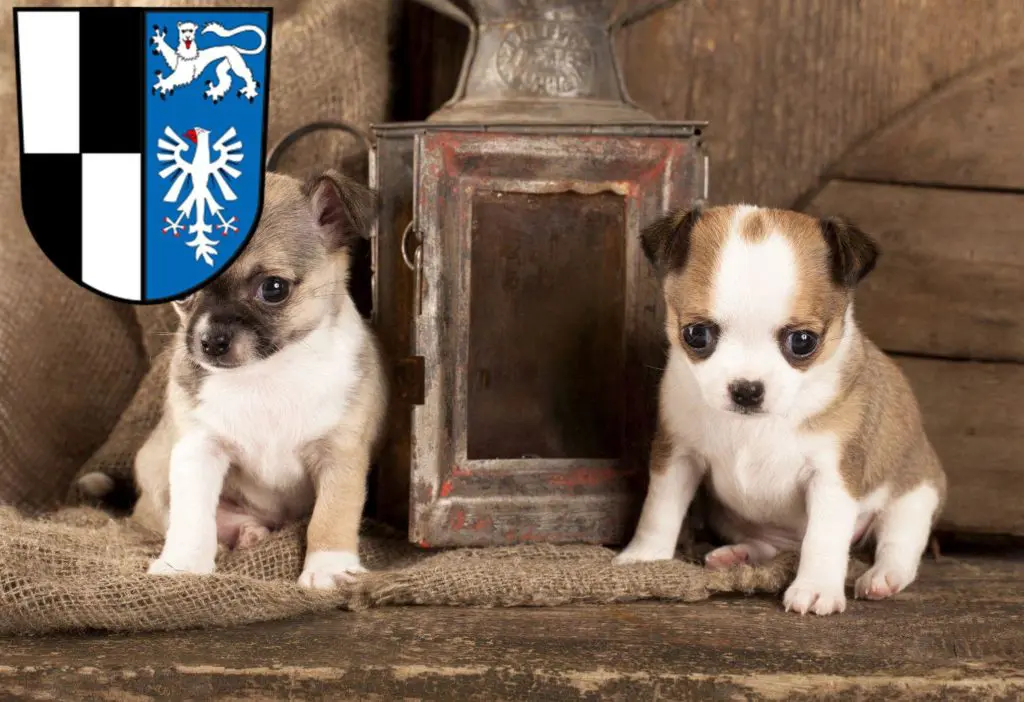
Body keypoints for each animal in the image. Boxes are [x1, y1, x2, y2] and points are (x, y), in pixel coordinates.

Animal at [128, 168, 385, 589]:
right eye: (183, 292)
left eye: (273, 289)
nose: (210, 341)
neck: (268, 373)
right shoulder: (198, 450)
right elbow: (192, 517)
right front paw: (184, 564)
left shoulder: (340, 454)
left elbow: (332, 513)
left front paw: (328, 566)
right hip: (155, 474)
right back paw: (244, 533)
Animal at [610, 203, 946, 613]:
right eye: (696, 335)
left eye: (802, 342)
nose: (746, 390)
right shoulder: (677, 457)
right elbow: (660, 509)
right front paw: (646, 556)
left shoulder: (832, 477)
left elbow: (823, 538)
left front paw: (817, 586)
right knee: (770, 546)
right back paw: (737, 555)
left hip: (914, 496)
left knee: (898, 545)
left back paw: (883, 577)